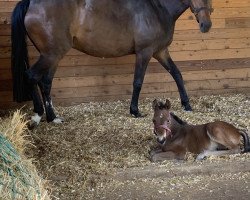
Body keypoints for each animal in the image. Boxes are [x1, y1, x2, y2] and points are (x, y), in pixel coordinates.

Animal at [11, 0, 213, 125]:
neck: (157, 8)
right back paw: (37, 116)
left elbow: (177, 74)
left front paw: (187, 104)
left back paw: (53, 118)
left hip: (53, 56)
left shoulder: (161, 52)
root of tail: (31, 3)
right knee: (31, 76)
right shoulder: (145, 52)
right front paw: (135, 111)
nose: (206, 25)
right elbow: (138, 82)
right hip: (51, 54)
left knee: (45, 82)